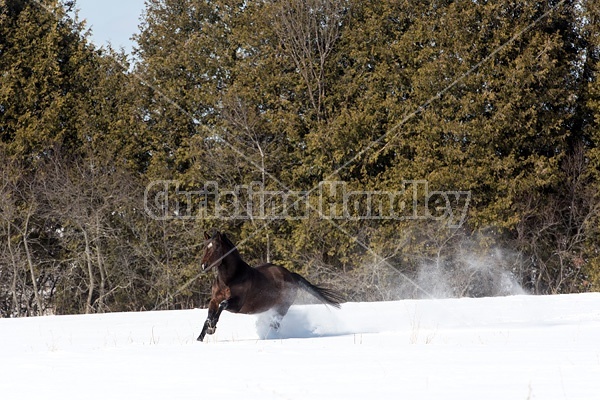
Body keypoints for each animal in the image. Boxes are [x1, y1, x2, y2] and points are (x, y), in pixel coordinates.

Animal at [197, 231, 342, 340]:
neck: (229, 279)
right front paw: (202, 337)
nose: (204, 266)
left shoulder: (237, 304)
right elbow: (209, 316)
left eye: (216, 247)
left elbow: (222, 305)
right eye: (204, 247)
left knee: (275, 325)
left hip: (282, 308)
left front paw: (212, 328)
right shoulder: (214, 299)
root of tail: (291, 275)